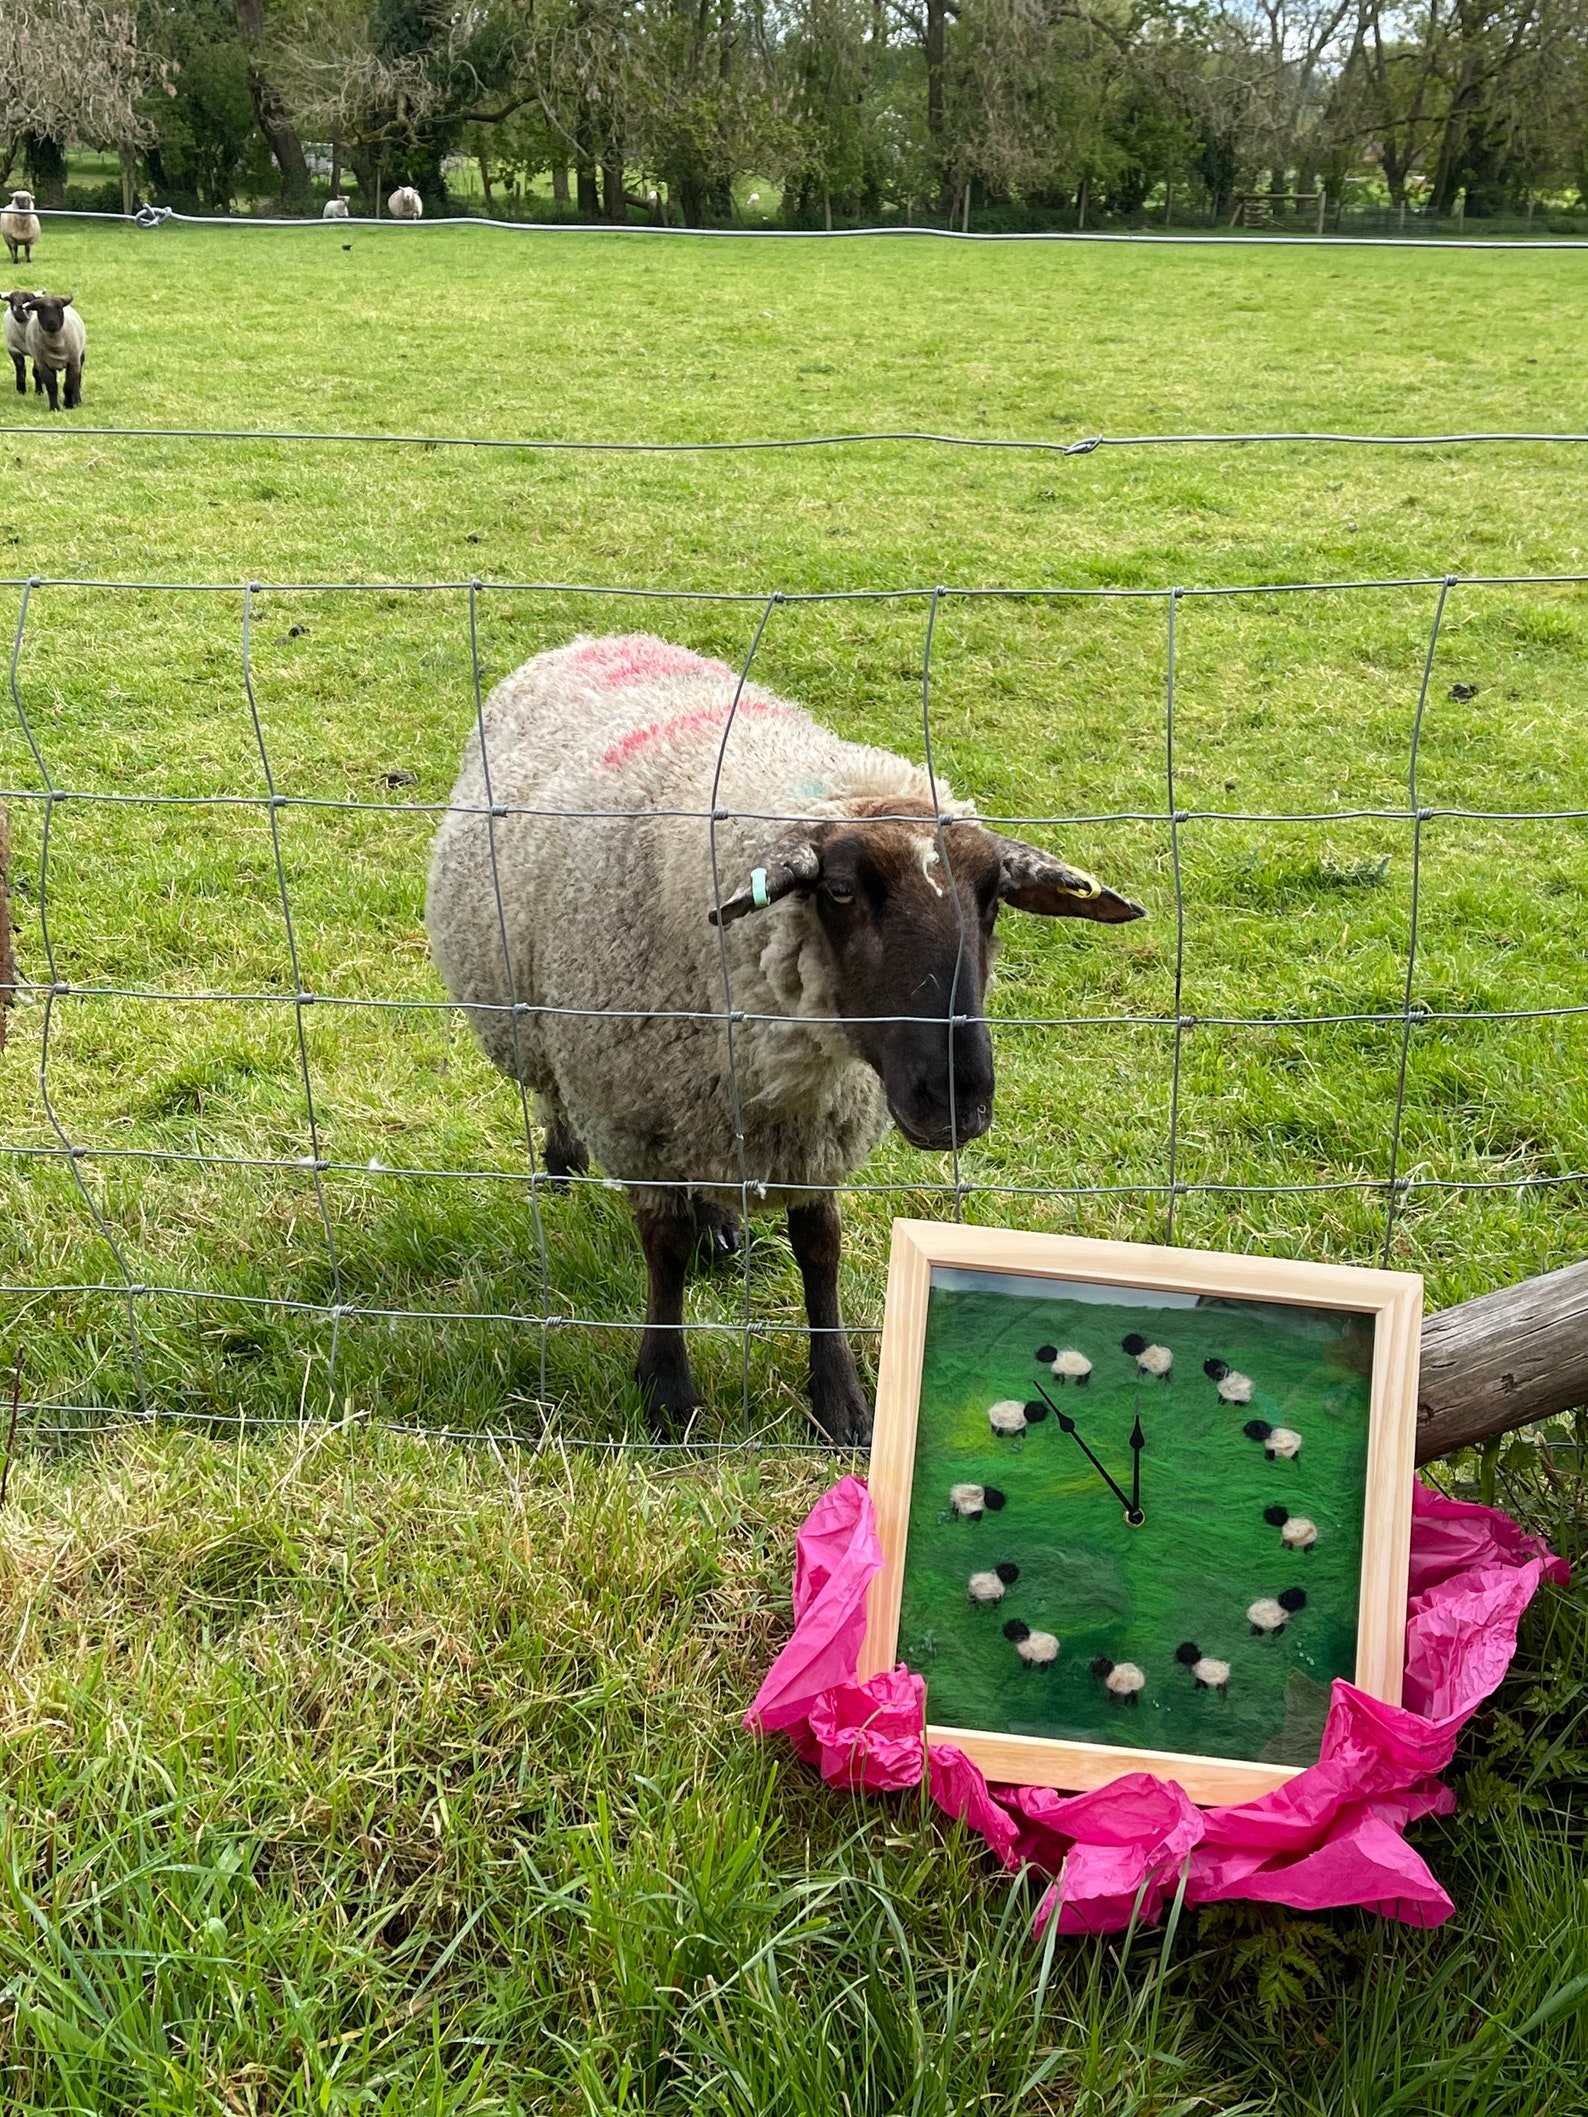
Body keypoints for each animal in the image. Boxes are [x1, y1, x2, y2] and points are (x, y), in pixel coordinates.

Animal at [426, 635, 1143, 1443]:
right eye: (839, 891)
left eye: (992, 898)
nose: (958, 1098)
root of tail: (594, 639)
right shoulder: (637, 1119)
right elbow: (663, 1251)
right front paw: (667, 1394)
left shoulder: (817, 1129)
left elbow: (820, 1249)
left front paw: (843, 1403)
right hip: (533, 1023)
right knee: (550, 1093)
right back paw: (561, 1166)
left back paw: (719, 1227)